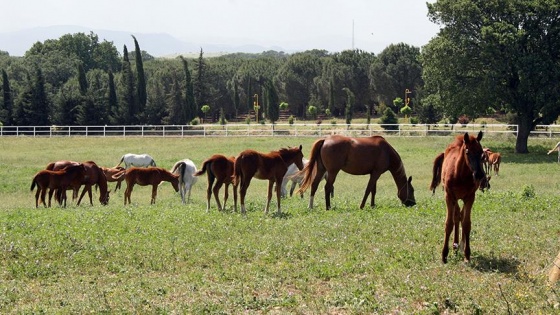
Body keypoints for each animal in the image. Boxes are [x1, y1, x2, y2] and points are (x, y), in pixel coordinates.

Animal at [430, 131, 488, 264]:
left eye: (481, 152)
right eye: (467, 151)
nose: (479, 174)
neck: (460, 174)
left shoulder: (470, 197)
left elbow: (466, 223)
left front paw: (467, 255)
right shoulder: (449, 196)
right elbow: (449, 223)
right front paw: (444, 255)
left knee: (460, 215)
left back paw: (458, 245)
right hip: (454, 198)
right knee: (456, 216)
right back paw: (455, 245)